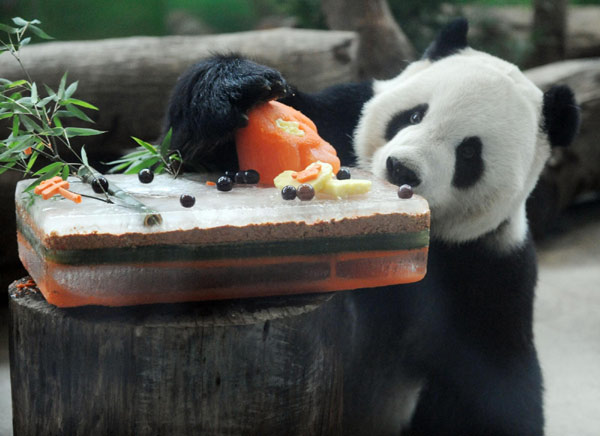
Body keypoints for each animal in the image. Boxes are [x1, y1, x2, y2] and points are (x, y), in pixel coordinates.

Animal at [166, 17, 580, 436]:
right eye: (413, 115)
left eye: (469, 153)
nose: (402, 169)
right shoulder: (340, 114)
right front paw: (237, 92)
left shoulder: (489, 270)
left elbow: (496, 384)